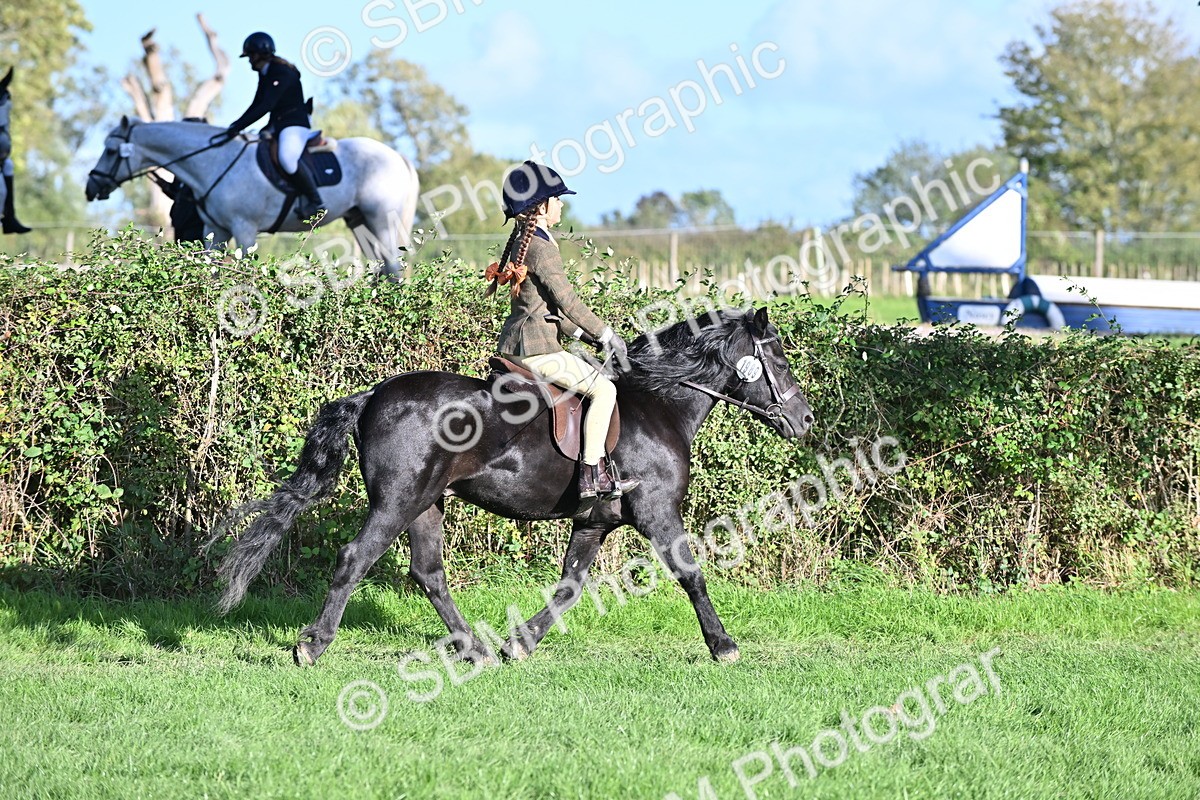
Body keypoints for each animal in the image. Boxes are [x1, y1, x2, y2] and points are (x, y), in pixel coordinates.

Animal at [85, 116, 419, 278]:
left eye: (111, 151)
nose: (91, 187)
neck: (214, 160)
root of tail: (397, 155)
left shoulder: (244, 229)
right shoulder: (215, 230)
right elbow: (212, 271)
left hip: (381, 219)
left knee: (392, 267)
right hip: (359, 222)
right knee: (382, 267)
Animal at [209, 307, 814, 665]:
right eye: (778, 357)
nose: (805, 420)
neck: (661, 403)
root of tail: (373, 396)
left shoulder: (594, 522)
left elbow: (569, 586)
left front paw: (519, 644)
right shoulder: (657, 513)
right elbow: (691, 574)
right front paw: (724, 646)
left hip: (425, 505)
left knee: (429, 574)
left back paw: (472, 649)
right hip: (399, 500)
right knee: (355, 558)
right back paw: (313, 646)